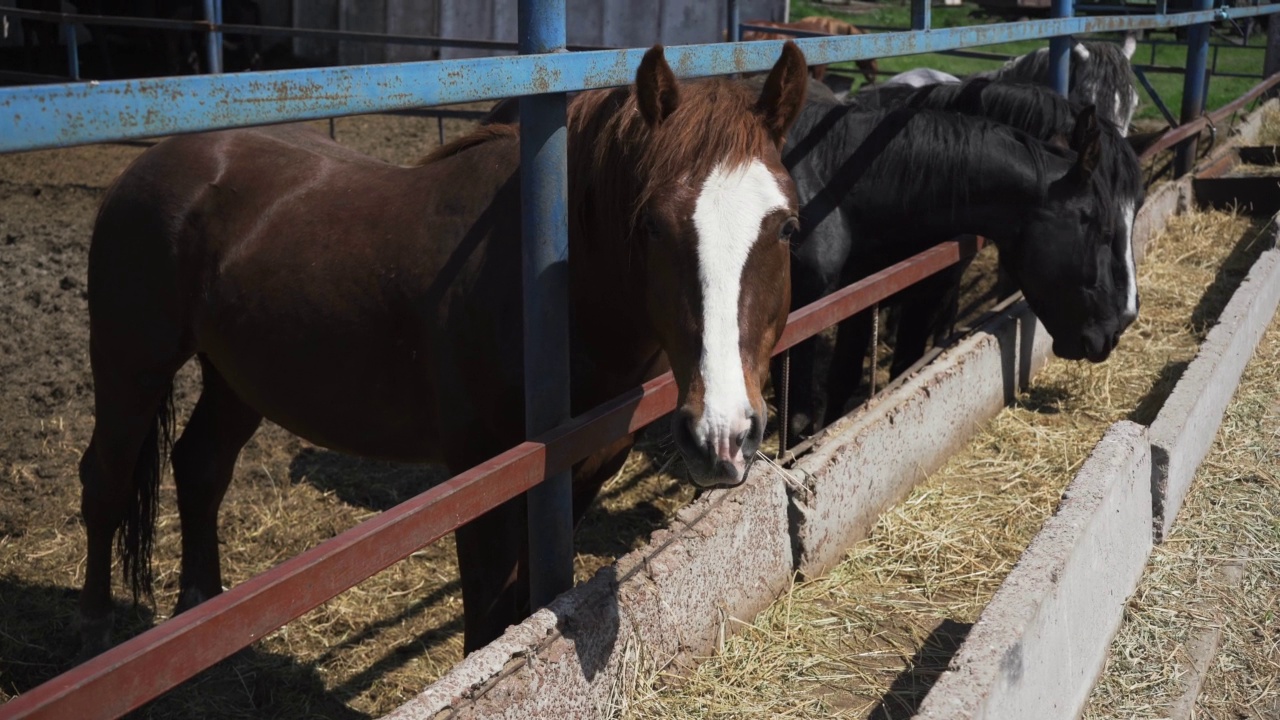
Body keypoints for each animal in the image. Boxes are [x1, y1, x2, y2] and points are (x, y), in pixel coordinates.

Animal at [74, 41, 803, 653]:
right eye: (650, 225)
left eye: (786, 227)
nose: (723, 436)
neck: (550, 294)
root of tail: (155, 161)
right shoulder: (482, 479)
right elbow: (490, 620)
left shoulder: (584, 470)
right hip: (130, 364)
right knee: (105, 479)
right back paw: (97, 628)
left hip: (236, 378)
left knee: (199, 467)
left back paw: (199, 609)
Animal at [773, 79, 1146, 438]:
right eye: (1104, 229)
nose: (1119, 325)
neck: (837, 182)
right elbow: (808, 408)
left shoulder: (910, 290)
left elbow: (896, 368)